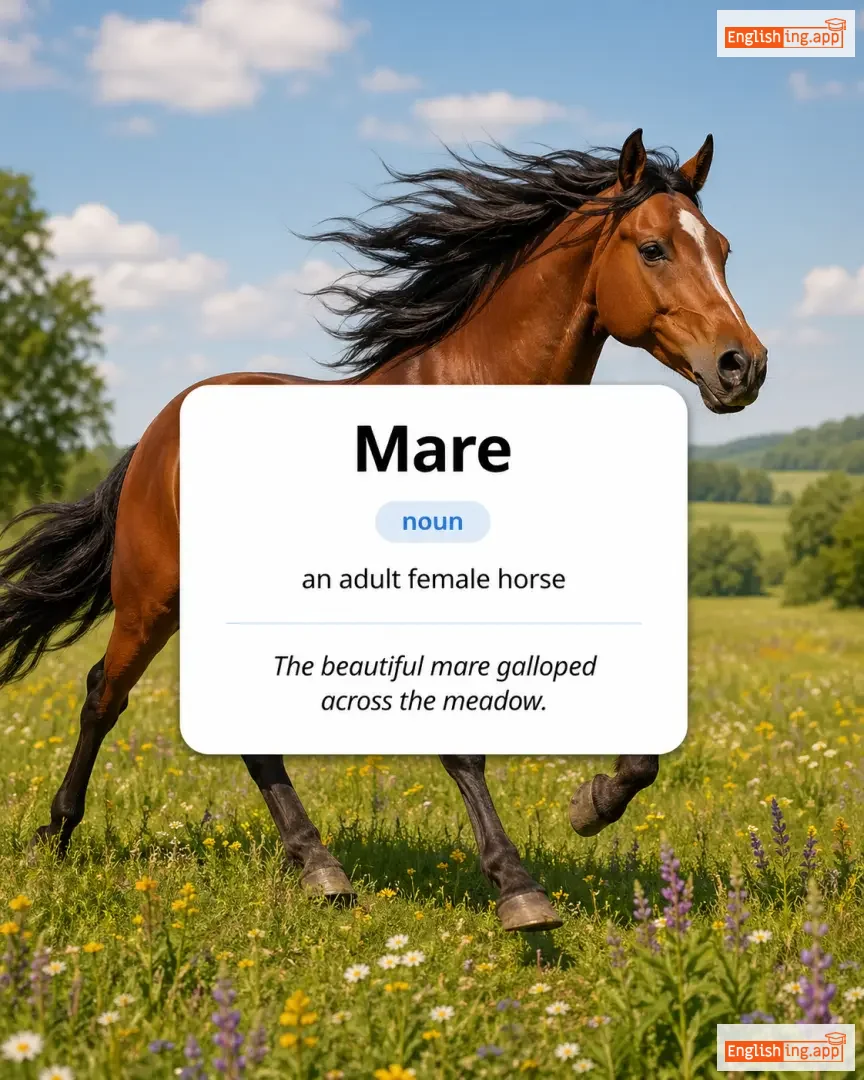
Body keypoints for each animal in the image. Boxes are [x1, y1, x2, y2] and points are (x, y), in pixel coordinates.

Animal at [0, 129, 767, 933]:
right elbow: (461, 745)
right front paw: (519, 889)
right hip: (151, 599)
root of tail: (158, 428)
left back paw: (318, 864)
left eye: (722, 247)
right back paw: (59, 835)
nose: (743, 366)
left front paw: (589, 807)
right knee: (102, 695)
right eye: (653, 249)